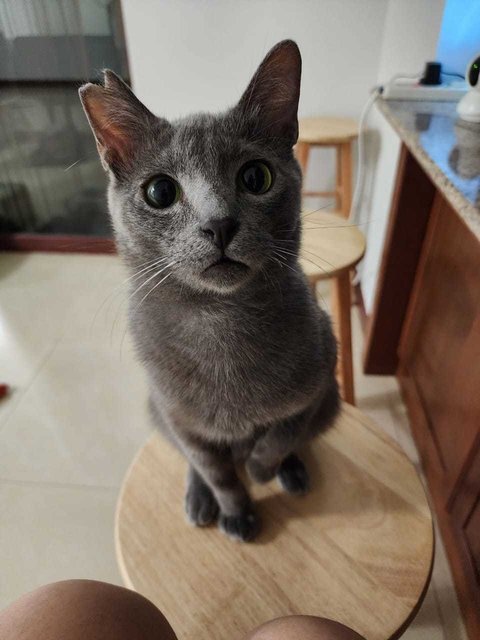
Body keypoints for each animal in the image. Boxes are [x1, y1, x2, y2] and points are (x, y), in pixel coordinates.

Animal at [79, 38, 340, 540]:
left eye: (256, 177)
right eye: (160, 192)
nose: (219, 224)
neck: (221, 322)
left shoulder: (321, 376)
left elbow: (282, 433)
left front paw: (261, 468)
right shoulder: (180, 420)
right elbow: (214, 470)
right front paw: (236, 510)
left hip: (332, 405)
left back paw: (291, 472)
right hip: (155, 411)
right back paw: (200, 500)